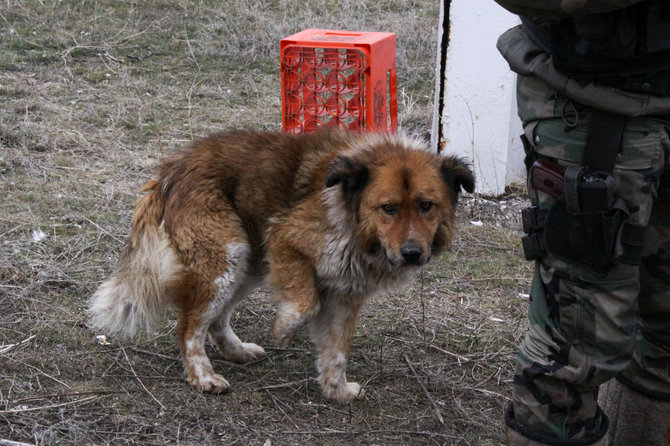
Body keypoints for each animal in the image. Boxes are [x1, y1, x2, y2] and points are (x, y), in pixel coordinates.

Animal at [89, 128, 476, 400]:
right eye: (389, 208)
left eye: (426, 206)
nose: (412, 253)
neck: (349, 214)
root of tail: (172, 168)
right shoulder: (285, 239)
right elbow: (306, 303)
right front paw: (284, 329)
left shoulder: (347, 294)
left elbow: (337, 350)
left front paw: (337, 391)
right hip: (227, 257)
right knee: (189, 328)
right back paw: (204, 377)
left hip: (248, 262)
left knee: (215, 321)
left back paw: (237, 351)